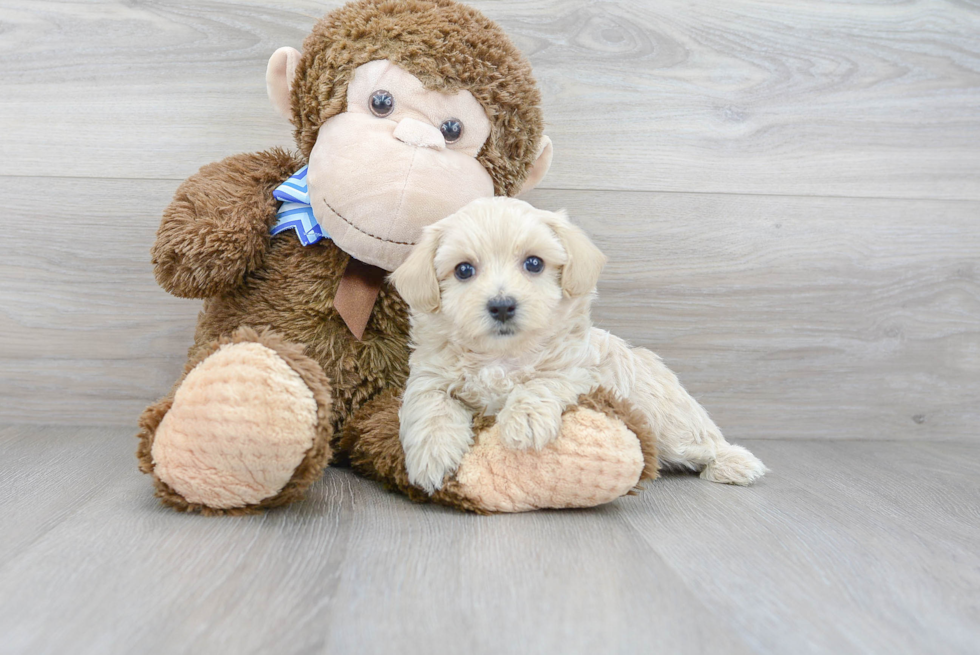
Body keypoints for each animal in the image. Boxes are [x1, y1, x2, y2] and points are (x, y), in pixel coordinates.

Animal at [390, 197, 764, 494]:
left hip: (669, 422)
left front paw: (524, 420)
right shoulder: (430, 376)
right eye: (464, 270)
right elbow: (431, 406)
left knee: (702, 441)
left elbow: (542, 382)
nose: (502, 306)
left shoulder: (577, 369)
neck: (502, 356)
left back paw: (735, 463)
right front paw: (433, 456)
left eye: (534, 263)